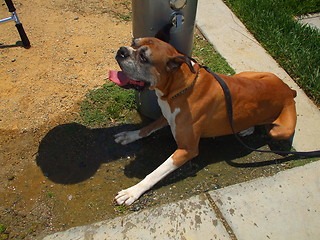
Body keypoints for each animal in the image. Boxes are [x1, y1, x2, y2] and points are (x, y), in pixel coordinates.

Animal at [113, 37, 298, 204]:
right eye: (133, 43)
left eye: (143, 57)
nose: (122, 51)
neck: (180, 87)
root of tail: (289, 90)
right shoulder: (166, 115)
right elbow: (147, 128)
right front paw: (129, 136)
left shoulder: (187, 149)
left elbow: (156, 172)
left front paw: (133, 191)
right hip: (245, 75)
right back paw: (245, 127)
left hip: (281, 130)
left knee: (268, 127)